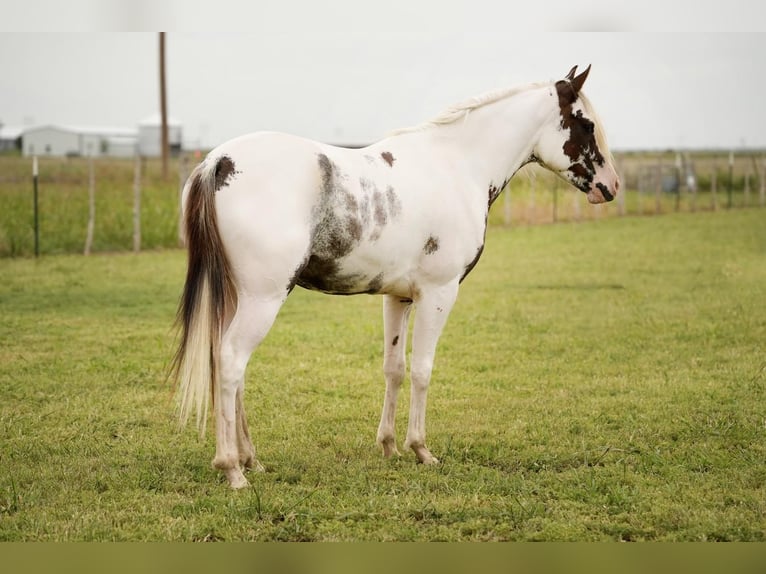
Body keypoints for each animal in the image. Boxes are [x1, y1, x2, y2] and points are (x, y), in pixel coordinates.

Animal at [171, 66, 620, 490]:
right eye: (585, 124)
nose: (611, 186)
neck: (457, 166)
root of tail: (219, 162)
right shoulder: (439, 293)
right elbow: (422, 369)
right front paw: (421, 449)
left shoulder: (397, 297)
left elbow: (395, 369)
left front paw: (388, 446)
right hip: (262, 299)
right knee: (231, 362)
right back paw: (233, 469)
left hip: (238, 298)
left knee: (231, 369)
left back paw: (252, 460)